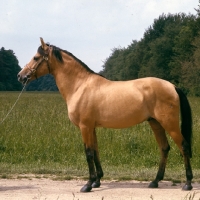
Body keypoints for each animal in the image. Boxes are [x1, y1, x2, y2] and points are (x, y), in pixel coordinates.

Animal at [18, 37, 193, 192]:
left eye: (36, 57)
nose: (21, 76)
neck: (80, 86)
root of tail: (172, 86)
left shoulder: (85, 127)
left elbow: (88, 153)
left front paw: (88, 185)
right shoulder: (92, 128)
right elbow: (95, 151)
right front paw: (97, 181)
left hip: (169, 124)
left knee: (183, 146)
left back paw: (188, 183)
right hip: (155, 123)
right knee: (164, 148)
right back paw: (155, 181)